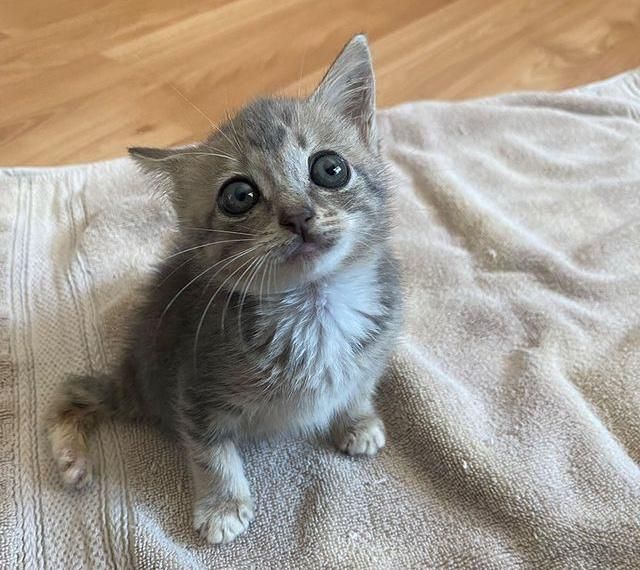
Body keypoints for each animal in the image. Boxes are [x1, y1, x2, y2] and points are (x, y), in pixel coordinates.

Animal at [47, 34, 402, 540]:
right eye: (239, 196)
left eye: (330, 169)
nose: (299, 216)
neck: (315, 307)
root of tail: (132, 374)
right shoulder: (194, 388)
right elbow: (210, 451)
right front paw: (222, 505)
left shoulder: (380, 342)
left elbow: (360, 383)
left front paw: (357, 420)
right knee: (71, 392)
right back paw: (71, 460)